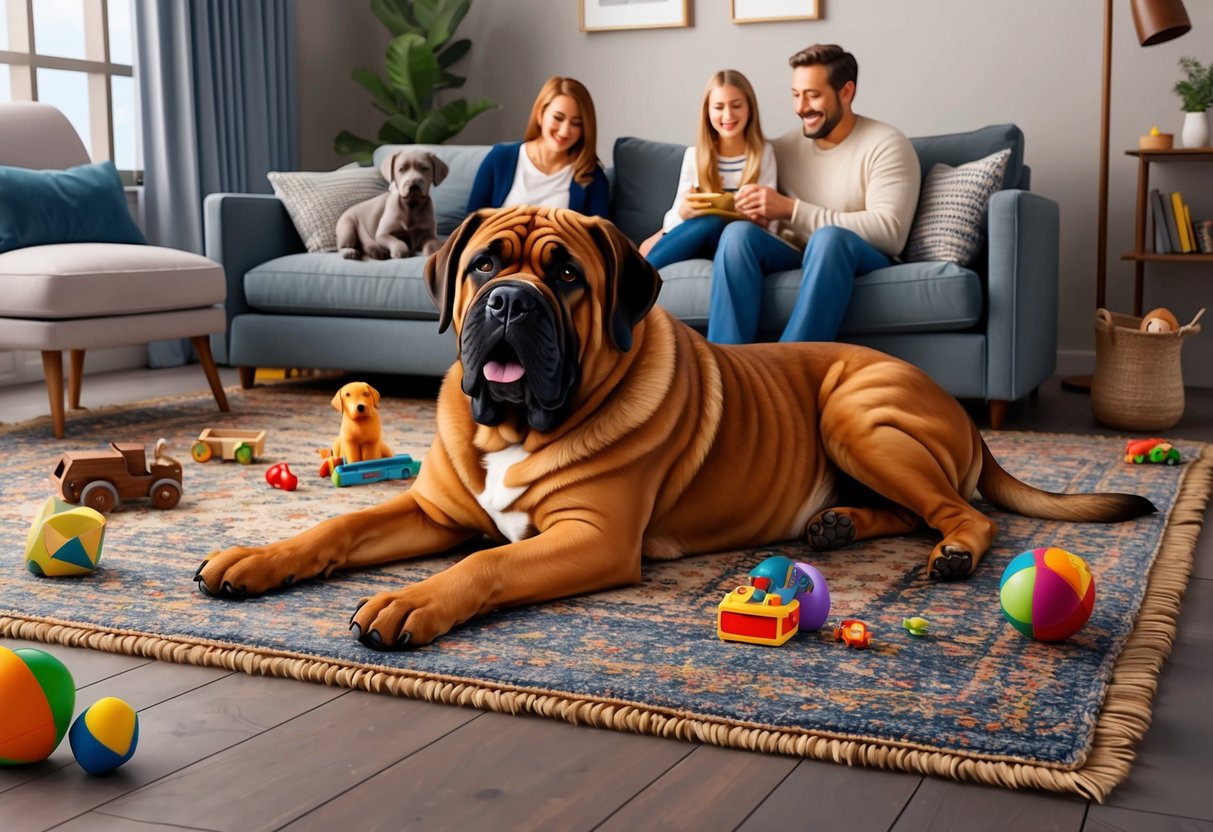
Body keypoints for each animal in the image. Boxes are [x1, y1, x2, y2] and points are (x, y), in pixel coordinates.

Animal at [198, 204, 1154, 650]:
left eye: (566, 277)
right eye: (480, 268)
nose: (509, 303)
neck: (515, 430)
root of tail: (960, 412)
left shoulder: (590, 537)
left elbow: (488, 565)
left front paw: (411, 599)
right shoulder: (432, 510)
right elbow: (339, 526)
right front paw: (255, 558)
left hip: (856, 412)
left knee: (965, 514)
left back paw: (948, 550)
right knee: (911, 508)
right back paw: (838, 523)